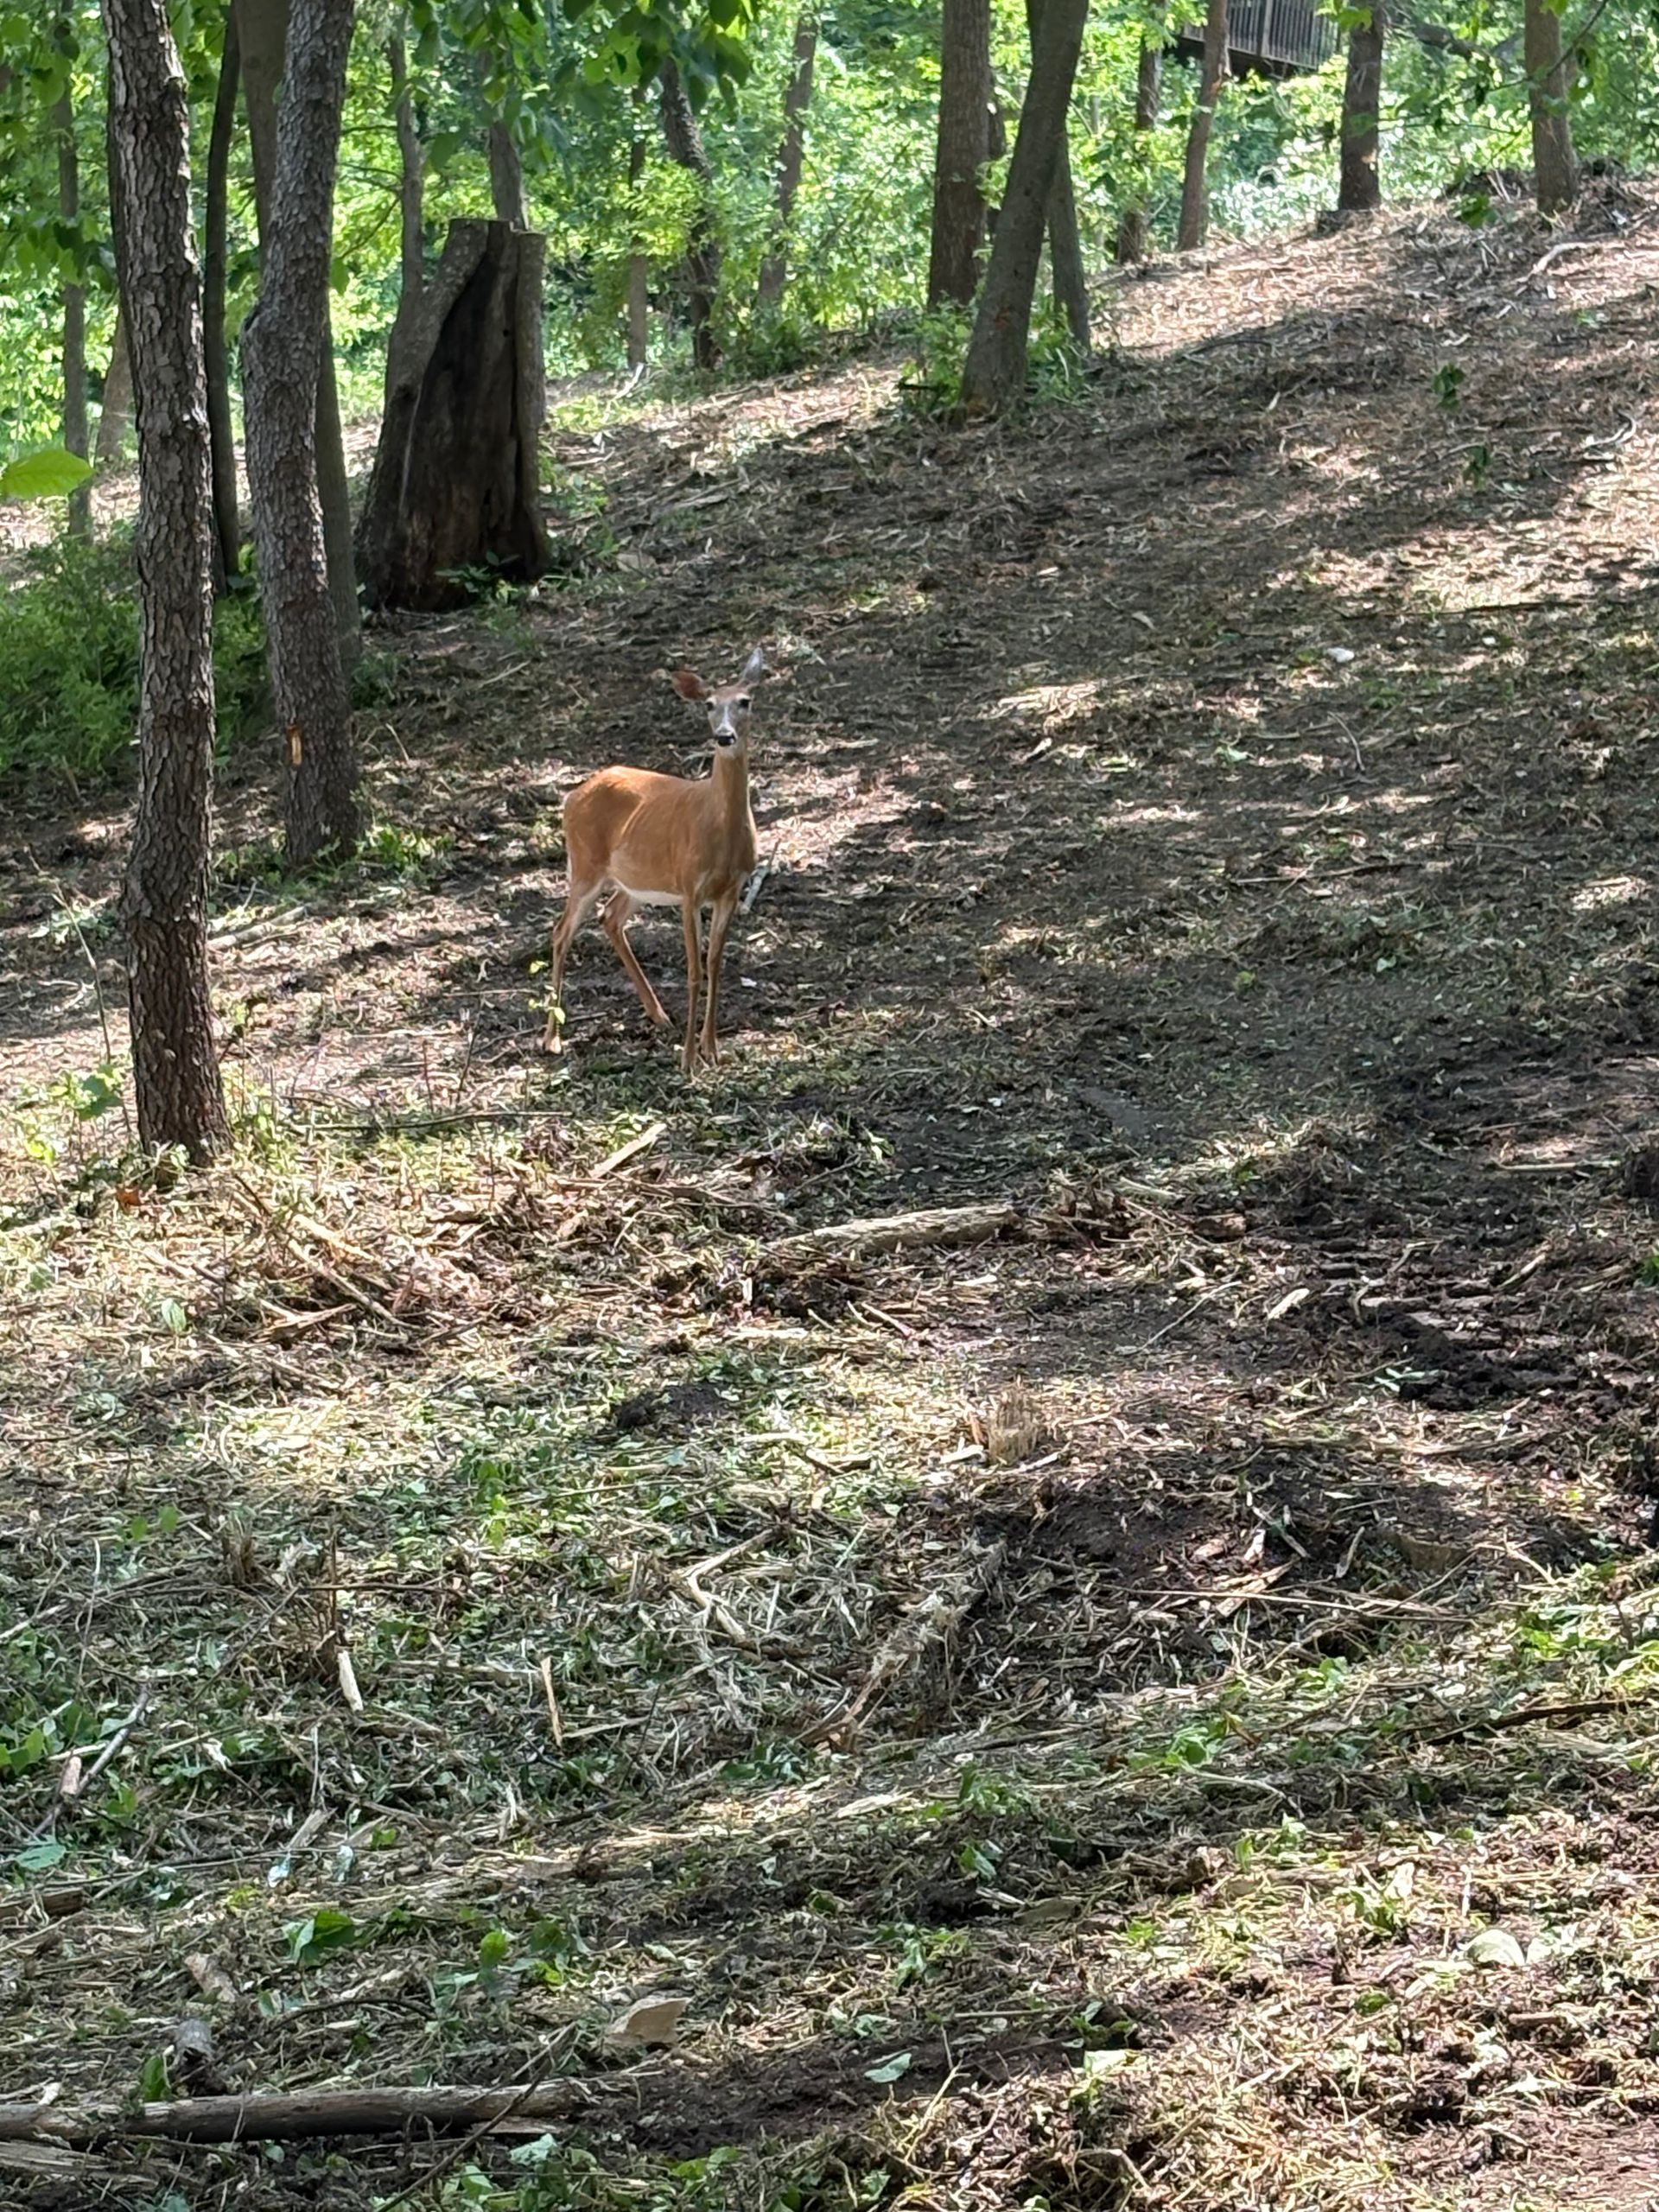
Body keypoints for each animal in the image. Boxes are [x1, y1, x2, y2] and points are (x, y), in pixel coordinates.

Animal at [542, 648, 766, 1073]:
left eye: (746, 701)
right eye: (709, 704)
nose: (724, 736)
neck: (719, 831)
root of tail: (572, 796)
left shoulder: (731, 889)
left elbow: (715, 964)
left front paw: (712, 1049)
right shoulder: (689, 886)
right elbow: (694, 970)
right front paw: (689, 1058)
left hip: (634, 881)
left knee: (609, 918)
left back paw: (659, 1015)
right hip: (585, 865)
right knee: (561, 932)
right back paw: (552, 1039)